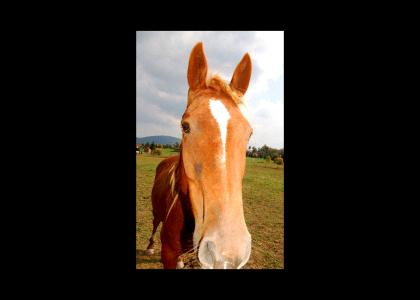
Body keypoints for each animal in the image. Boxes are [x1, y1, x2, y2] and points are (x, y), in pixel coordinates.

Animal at [145, 42, 253, 270]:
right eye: (185, 126)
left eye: (249, 133)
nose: (227, 252)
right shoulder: (167, 253)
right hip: (156, 212)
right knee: (154, 222)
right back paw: (149, 246)